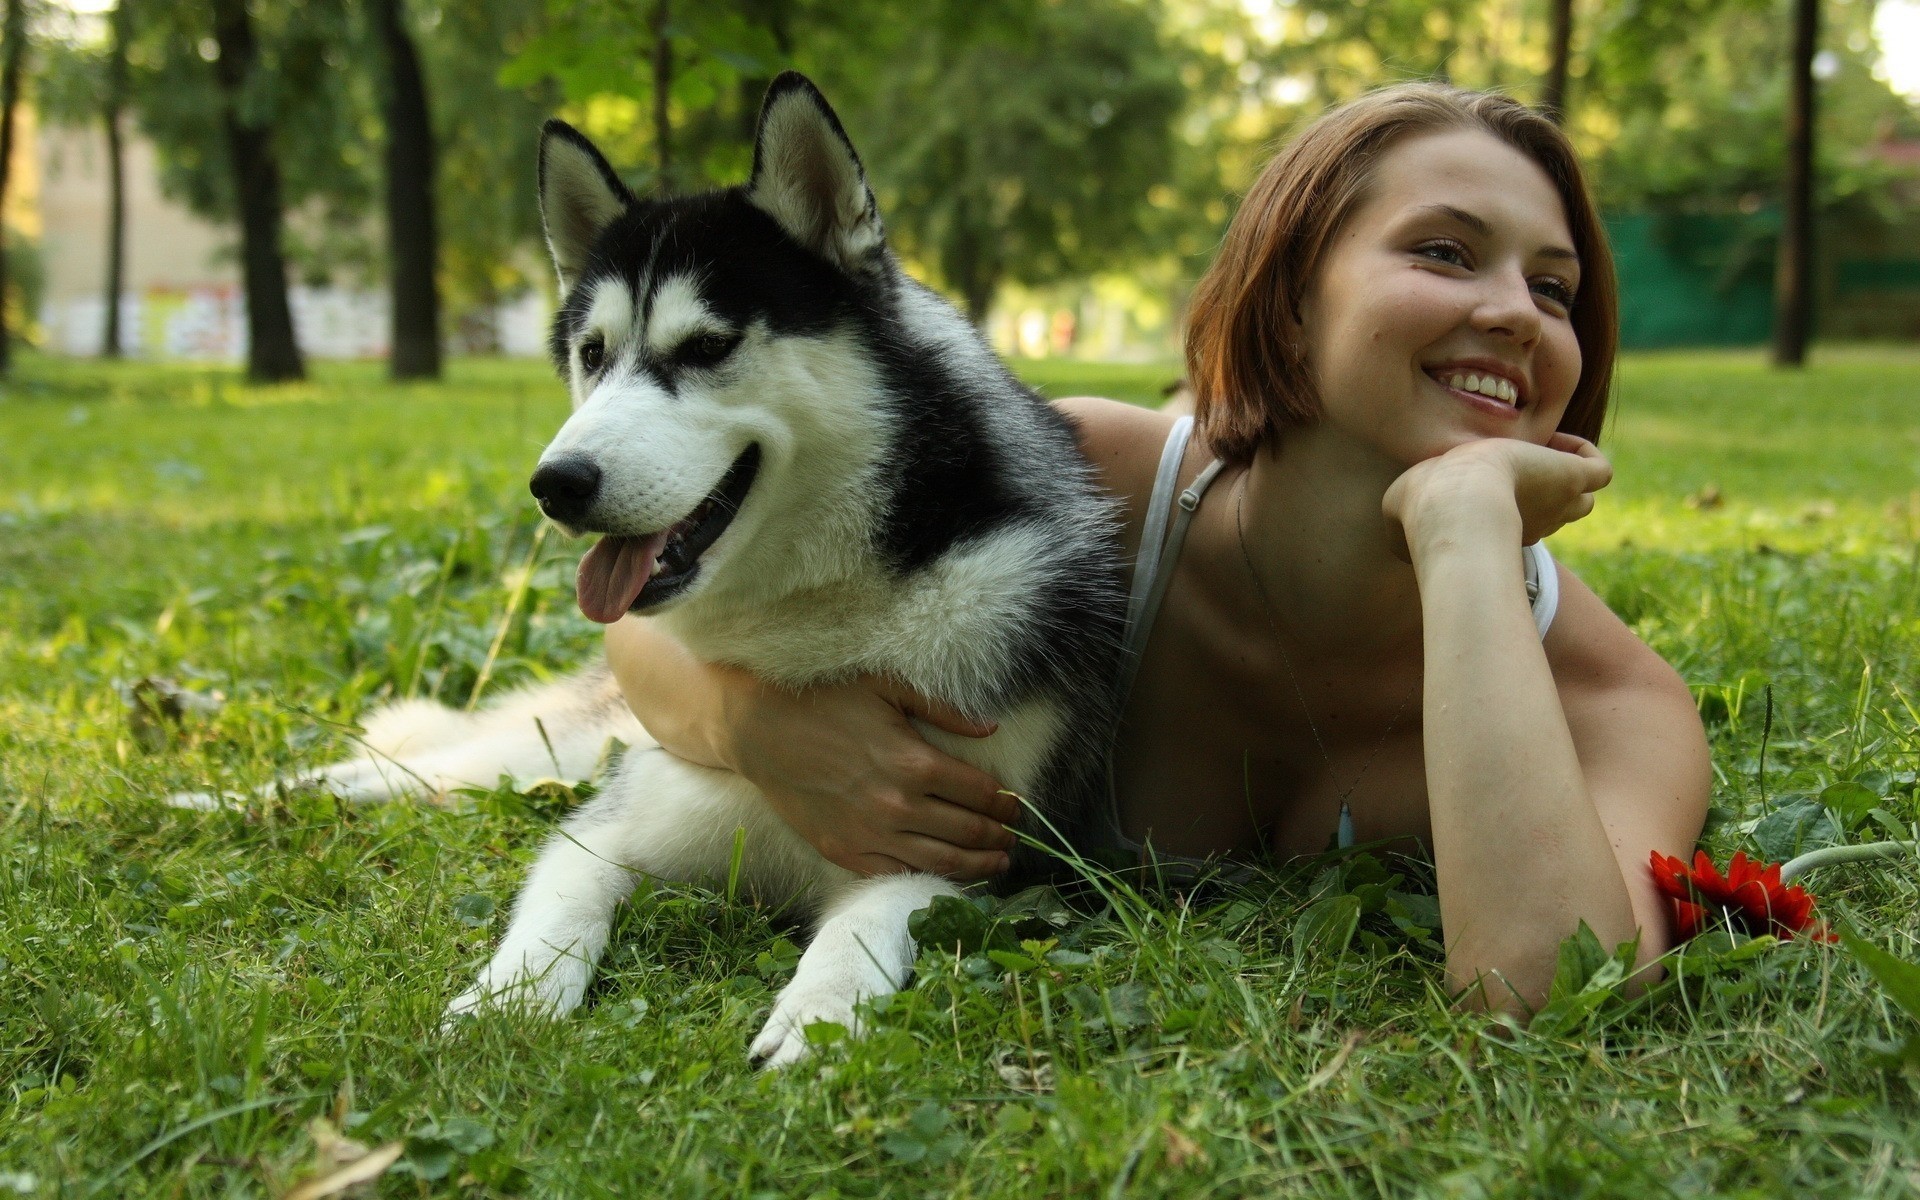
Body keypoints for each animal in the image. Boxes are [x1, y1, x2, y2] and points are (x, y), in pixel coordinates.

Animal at [185, 70, 1121, 1059]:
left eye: (707, 347)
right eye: (591, 354)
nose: (555, 484)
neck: (819, 618)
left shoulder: (956, 852)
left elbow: (867, 926)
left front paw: (817, 1016)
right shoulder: (611, 826)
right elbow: (555, 914)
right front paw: (510, 1002)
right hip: (541, 752)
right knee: (382, 766)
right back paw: (217, 793)